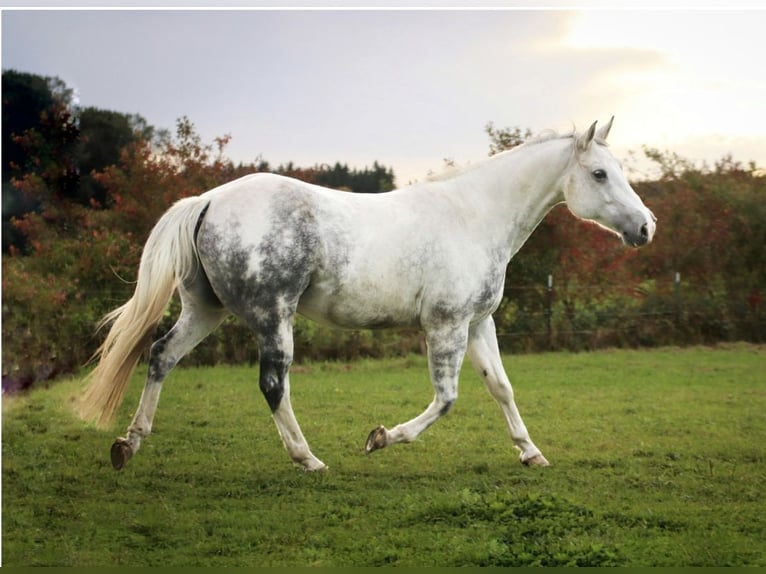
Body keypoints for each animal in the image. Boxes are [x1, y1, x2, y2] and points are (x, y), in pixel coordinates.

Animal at [78, 117, 656, 471]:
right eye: (599, 173)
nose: (647, 228)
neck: (473, 215)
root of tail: (208, 201)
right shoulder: (445, 326)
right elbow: (447, 400)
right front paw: (380, 438)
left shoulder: (477, 323)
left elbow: (502, 388)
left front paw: (531, 453)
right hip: (273, 317)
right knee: (273, 384)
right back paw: (308, 459)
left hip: (205, 310)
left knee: (160, 356)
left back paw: (127, 445)